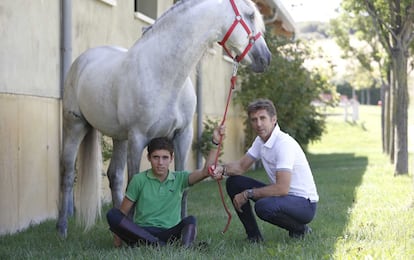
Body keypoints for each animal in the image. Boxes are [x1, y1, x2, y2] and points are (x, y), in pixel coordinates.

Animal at [58, 0, 272, 237]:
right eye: (250, 15)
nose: (266, 58)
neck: (164, 74)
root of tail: (82, 60)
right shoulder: (138, 138)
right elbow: (133, 185)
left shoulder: (183, 136)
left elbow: (183, 186)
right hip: (75, 127)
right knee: (68, 173)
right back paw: (63, 229)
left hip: (119, 138)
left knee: (114, 175)